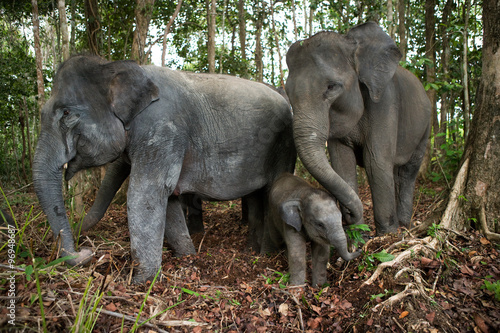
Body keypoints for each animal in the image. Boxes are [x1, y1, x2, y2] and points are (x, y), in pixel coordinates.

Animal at [34, 55, 296, 282]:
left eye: (67, 113)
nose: (86, 251)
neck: (114, 66)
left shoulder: (162, 130)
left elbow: (145, 194)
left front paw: (140, 283)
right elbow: (167, 198)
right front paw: (188, 258)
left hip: (283, 147)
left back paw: (265, 255)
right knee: (255, 196)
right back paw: (251, 250)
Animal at [288, 21, 432, 233]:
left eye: (332, 87)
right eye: (288, 92)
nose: (346, 214)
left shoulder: (386, 101)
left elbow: (376, 161)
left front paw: (387, 235)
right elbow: (342, 164)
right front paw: (360, 234)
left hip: (425, 126)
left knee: (409, 170)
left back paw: (405, 225)